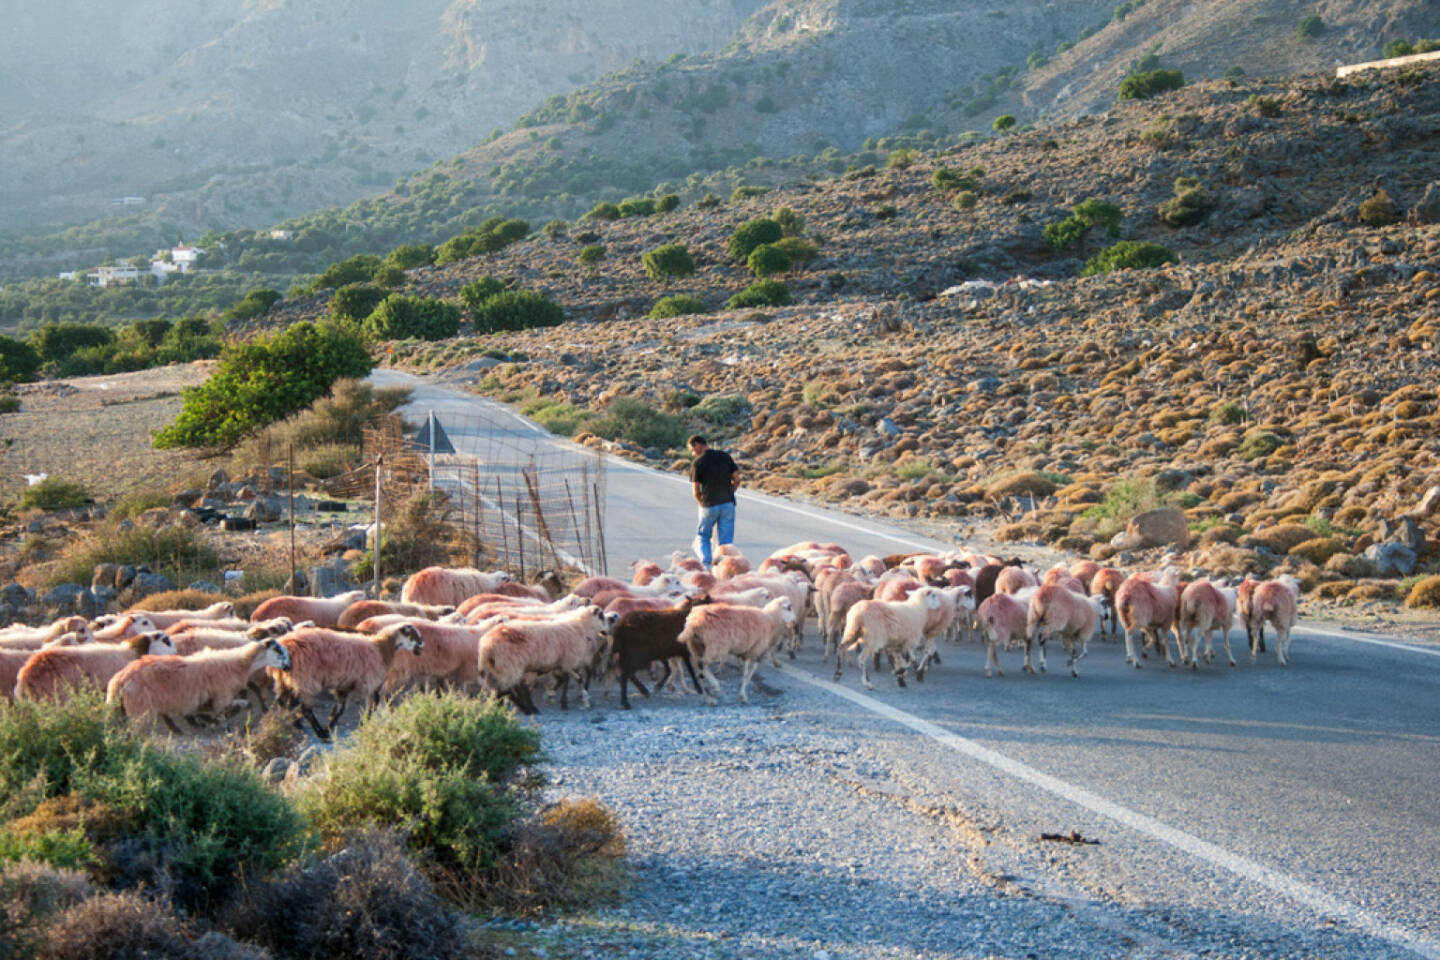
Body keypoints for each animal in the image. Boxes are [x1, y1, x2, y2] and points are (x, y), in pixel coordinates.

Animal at [105, 639, 292, 736]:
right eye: (278, 650)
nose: (289, 666)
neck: (239, 664)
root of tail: (119, 679)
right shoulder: (221, 697)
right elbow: (225, 713)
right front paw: (223, 727)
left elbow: (242, 706)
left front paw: (208, 721)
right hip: (139, 707)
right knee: (136, 728)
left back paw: (177, 729)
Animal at [270, 627, 420, 742]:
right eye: (413, 635)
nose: (422, 646)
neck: (382, 648)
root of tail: (288, 644)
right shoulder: (368, 681)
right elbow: (372, 702)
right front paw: (362, 723)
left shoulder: (344, 685)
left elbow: (338, 709)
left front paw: (330, 726)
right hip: (305, 681)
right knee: (305, 710)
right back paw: (321, 734)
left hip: (285, 680)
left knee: (283, 702)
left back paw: (295, 724)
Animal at [475, 607, 604, 713]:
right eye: (601, 616)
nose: (605, 632)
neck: (579, 627)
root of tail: (486, 646)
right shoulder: (568, 661)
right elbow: (569, 680)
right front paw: (565, 702)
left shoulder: (560, 663)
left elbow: (567, 679)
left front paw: (552, 695)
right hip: (510, 667)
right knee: (505, 690)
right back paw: (525, 708)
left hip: (498, 669)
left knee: (501, 690)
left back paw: (507, 707)